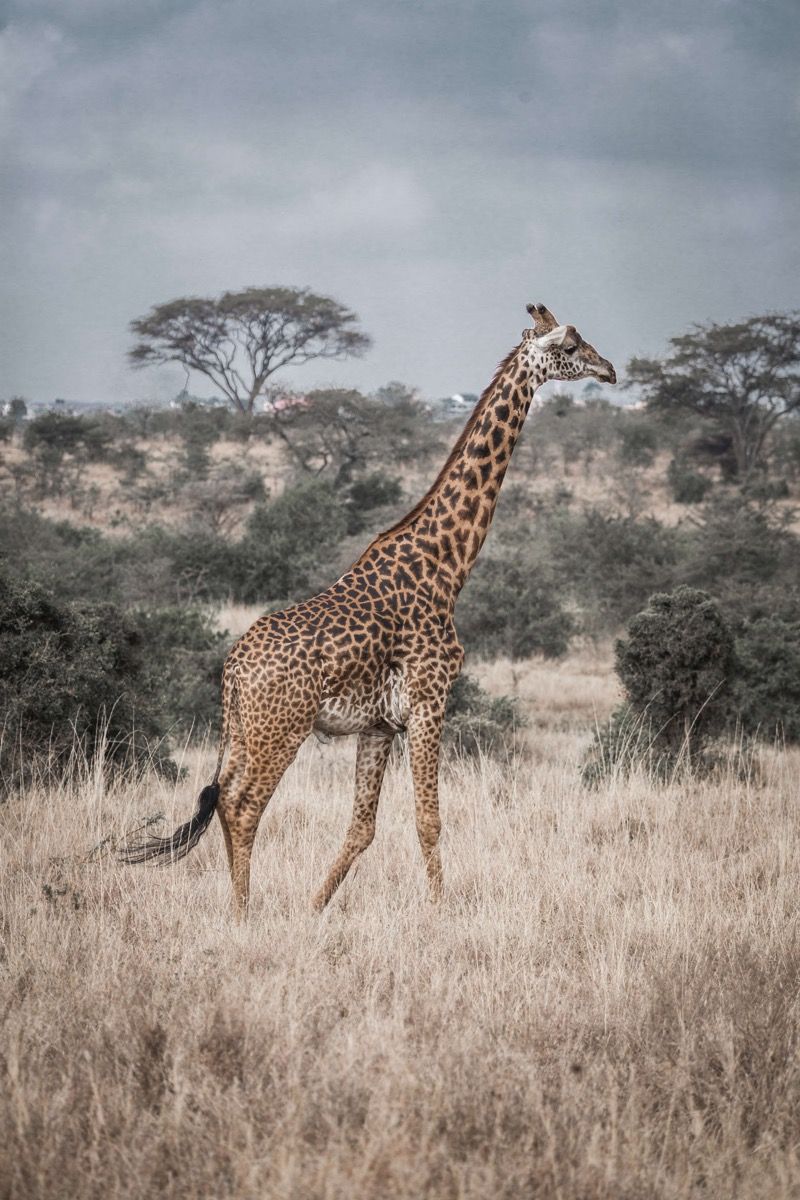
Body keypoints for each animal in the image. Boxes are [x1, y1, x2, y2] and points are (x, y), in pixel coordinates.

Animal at [121, 303, 616, 915]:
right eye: (570, 346)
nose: (609, 370)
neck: (446, 567)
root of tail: (233, 671)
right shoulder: (429, 701)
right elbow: (429, 820)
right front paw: (439, 910)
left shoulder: (379, 725)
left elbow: (362, 828)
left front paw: (315, 907)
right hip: (280, 730)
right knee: (241, 805)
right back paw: (241, 912)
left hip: (241, 730)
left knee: (220, 797)